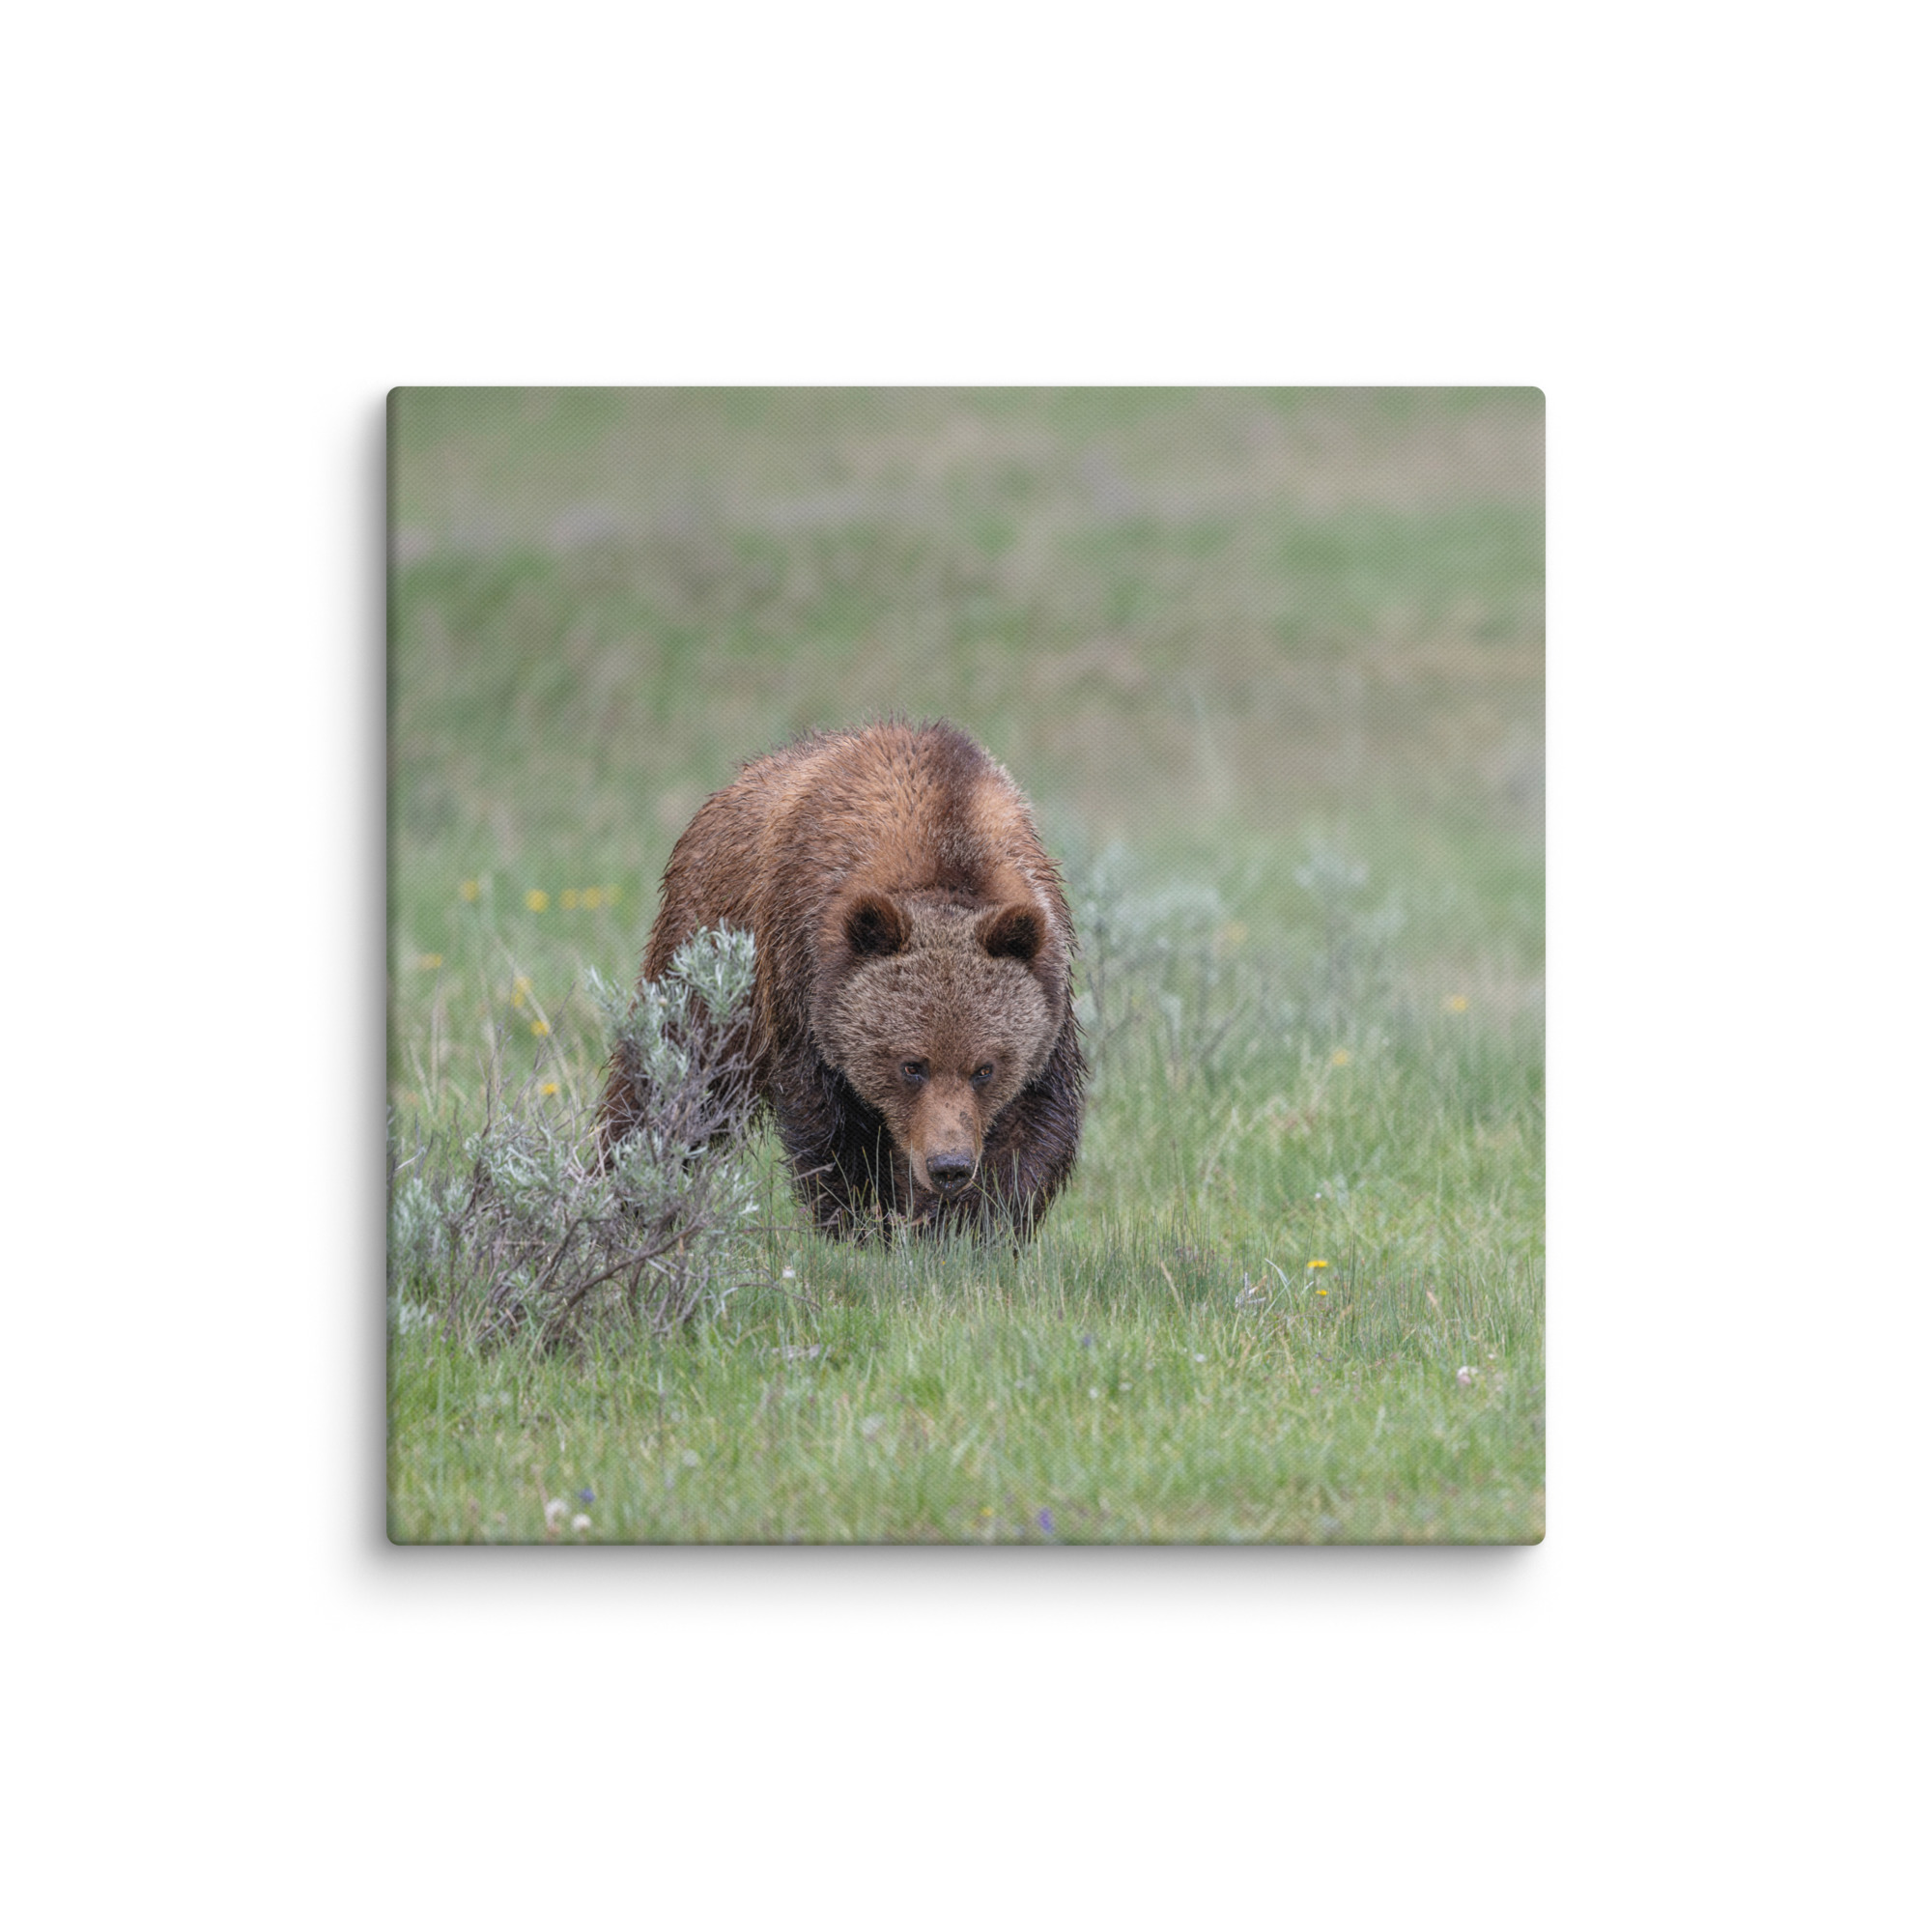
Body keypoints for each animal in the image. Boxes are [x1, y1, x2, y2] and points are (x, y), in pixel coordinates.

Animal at [599, 719, 1085, 1242]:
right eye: (911, 1065)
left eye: (985, 1068)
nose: (948, 1166)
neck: (944, 845)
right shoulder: (803, 981)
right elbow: (832, 1129)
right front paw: (863, 1224)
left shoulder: (1048, 995)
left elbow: (1032, 1126)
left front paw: (968, 1228)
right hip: (708, 954)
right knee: (670, 1076)